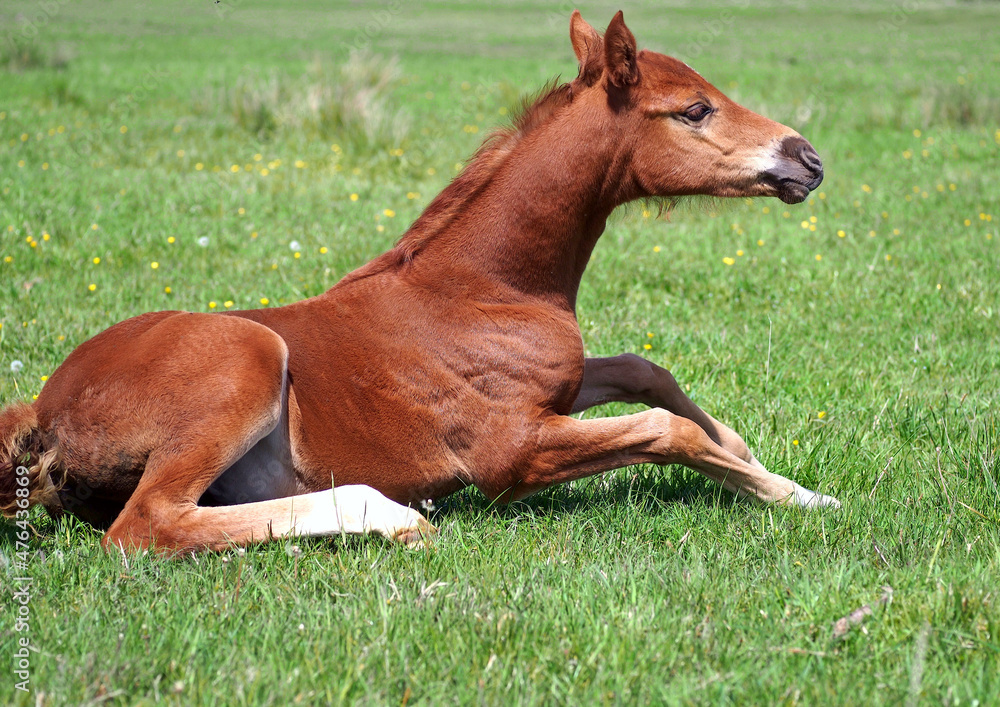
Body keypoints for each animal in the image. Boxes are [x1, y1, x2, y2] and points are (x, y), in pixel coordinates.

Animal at [0, 10, 838, 555]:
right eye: (694, 110)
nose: (808, 159)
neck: (481, 288)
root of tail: (42, 407)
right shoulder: (513, 453)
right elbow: (667, 429)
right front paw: (798, 495)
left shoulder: (561, 390)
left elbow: (647, 370)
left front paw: (768, 466)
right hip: (244, 360)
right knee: (146, 526)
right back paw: (393, 517)